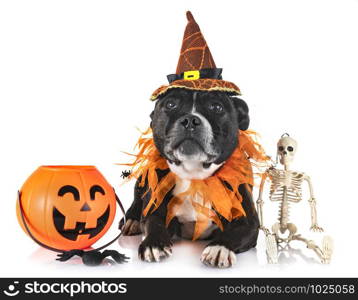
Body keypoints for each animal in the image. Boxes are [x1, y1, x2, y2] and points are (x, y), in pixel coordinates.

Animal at [121, 88, 258, 268]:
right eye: (170, 104)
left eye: (217, 107)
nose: (190, 120)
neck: (194, 176)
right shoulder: (156, 210)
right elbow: (153, 223)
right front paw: (153, 243)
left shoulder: (249, 223)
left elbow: (235, 233)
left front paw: (219, 248)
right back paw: (132, 220)